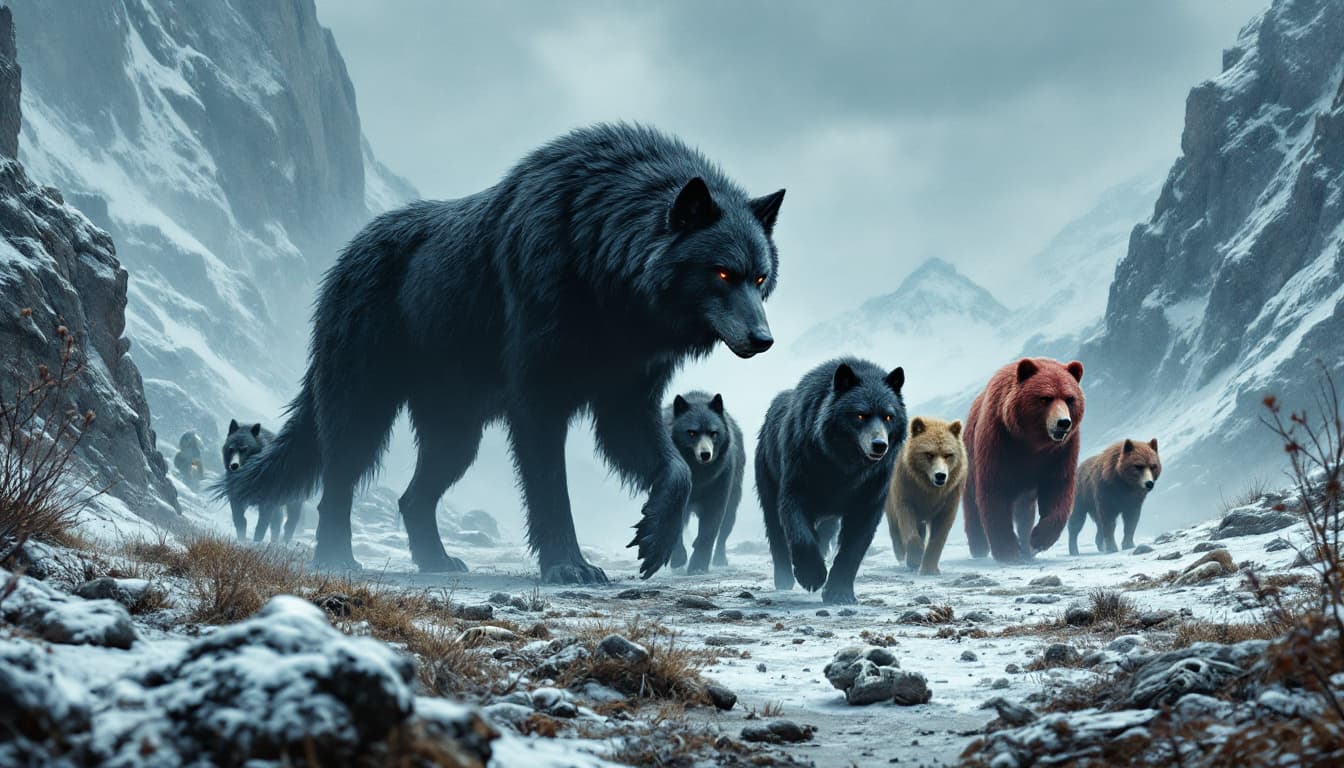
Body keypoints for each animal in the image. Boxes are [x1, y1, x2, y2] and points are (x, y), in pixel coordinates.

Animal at [664, 392, 745, 573]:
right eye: (691, 433)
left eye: (714, 433)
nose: (705, 454)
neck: (698, 475)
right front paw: (678, 559)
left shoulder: (720, 481)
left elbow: (710, 527)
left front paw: (698, 565)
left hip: (734, 492)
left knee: (726, 527)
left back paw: (720, 559)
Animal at [756, 358, 906, 604]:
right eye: (860, 415)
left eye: (888, 416)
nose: (879, 445)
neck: (843, 467)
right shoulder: (799, 476)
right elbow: (799, 531)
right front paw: (812, 576)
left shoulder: (871, 492)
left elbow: (854, 547)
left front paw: (839, 593)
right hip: (767, 475)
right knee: (775, 529)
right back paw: (784, 579)